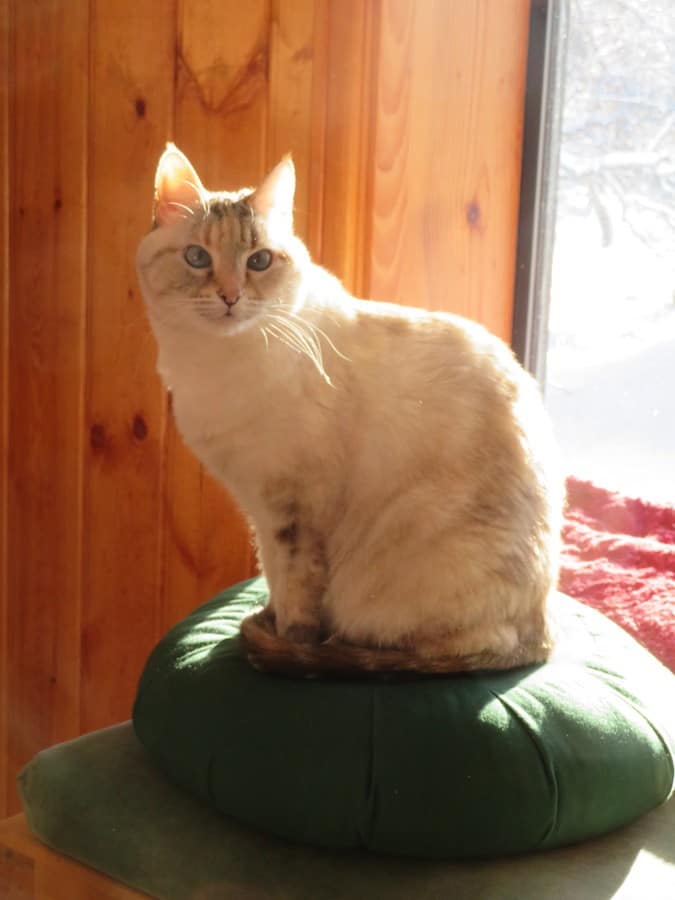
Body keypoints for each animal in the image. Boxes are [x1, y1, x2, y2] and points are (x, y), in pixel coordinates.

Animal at [135, 142, 564, 676]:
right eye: (197, 258)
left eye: (259, 261)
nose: (231, 297)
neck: (216, 363)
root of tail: (543, 640)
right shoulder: (262, 508)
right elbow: (273, 577)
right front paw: (268, 621)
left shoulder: (295, 509)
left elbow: (297, 598)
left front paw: (284, 640)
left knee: (422, 648)